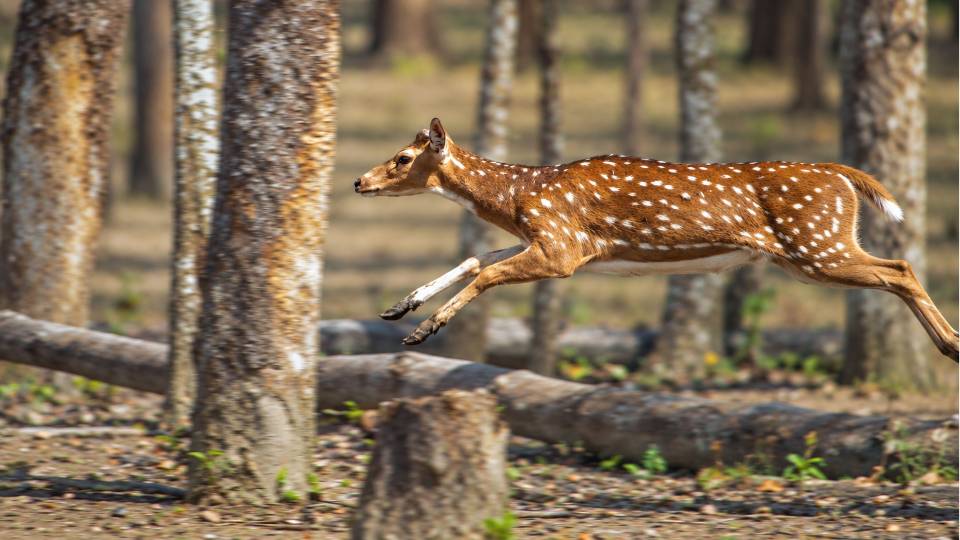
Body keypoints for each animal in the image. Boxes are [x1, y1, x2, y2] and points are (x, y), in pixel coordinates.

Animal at [353, 118, 959, 361]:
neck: (523, 196)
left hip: (817, 245)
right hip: (815, 248)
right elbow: (477, 256)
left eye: (403, 158)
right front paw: (399, 307)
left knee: (900, 267)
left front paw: (423, 331)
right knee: (897, 268)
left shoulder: (564, 247)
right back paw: (950, 344)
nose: (360, 181)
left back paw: (950, 345)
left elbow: (489, 271)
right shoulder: (553, 242)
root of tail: (842, 176)